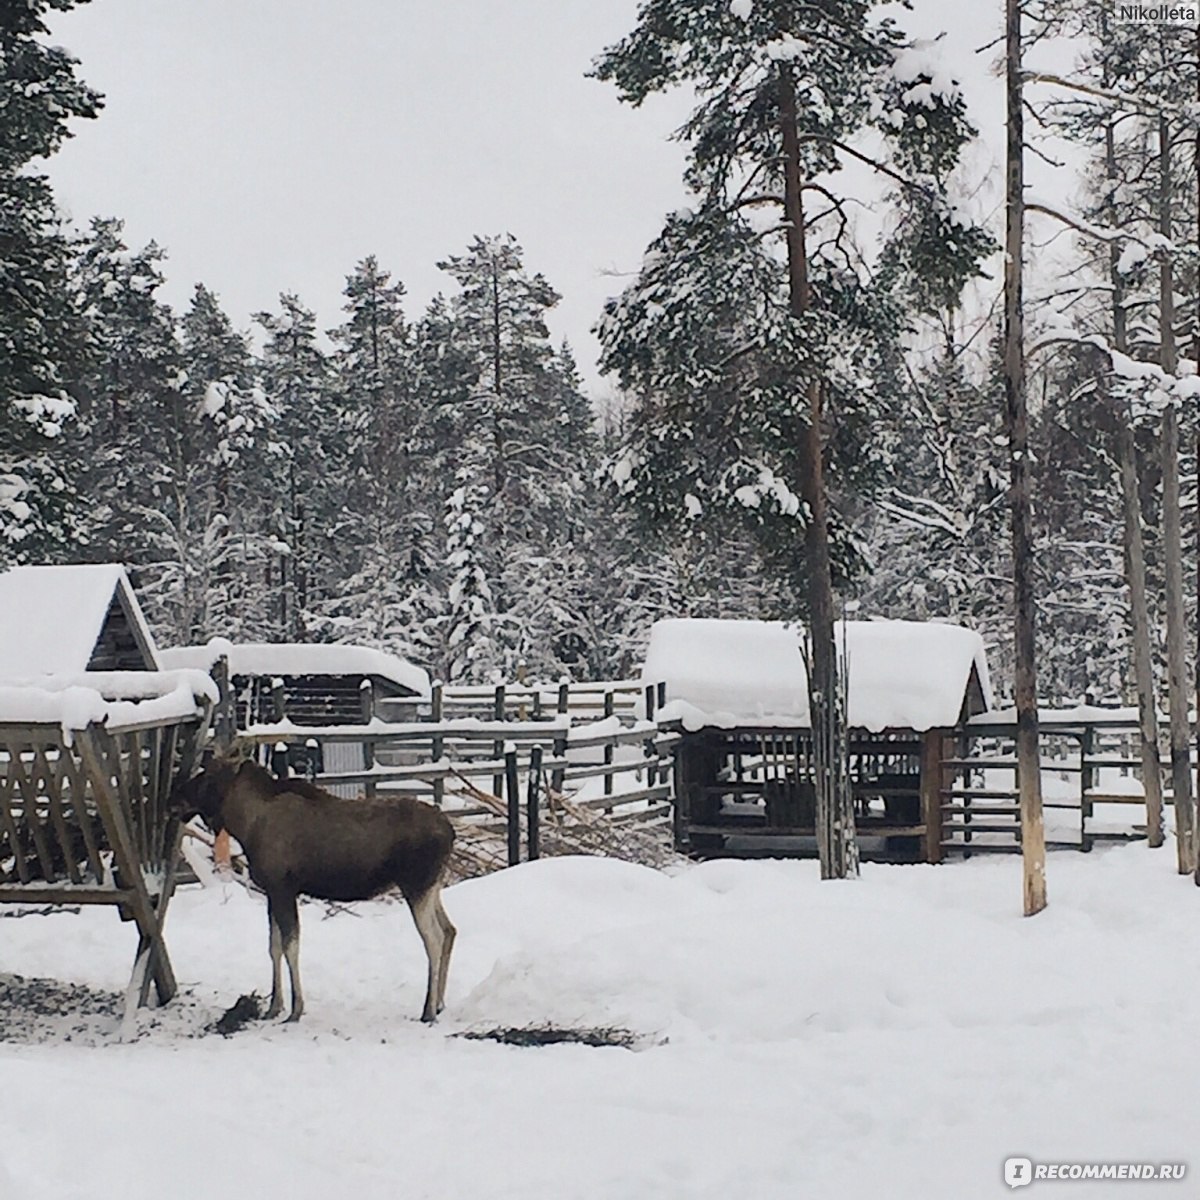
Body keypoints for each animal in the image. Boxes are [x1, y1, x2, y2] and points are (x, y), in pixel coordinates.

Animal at [175, 753, 456, 1017]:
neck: (246, 825)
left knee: (434, 939)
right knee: (450, 930)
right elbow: (273, 947)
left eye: (209, 774)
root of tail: (450, 832)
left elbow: (290, 946)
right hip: (432, 887)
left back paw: (428, 1010)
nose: (177, 797)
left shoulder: (283, 888)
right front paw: (274, 1007)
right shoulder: (272, 892)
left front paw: (296, 1009)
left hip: (416, 885)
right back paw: (440, 1003)